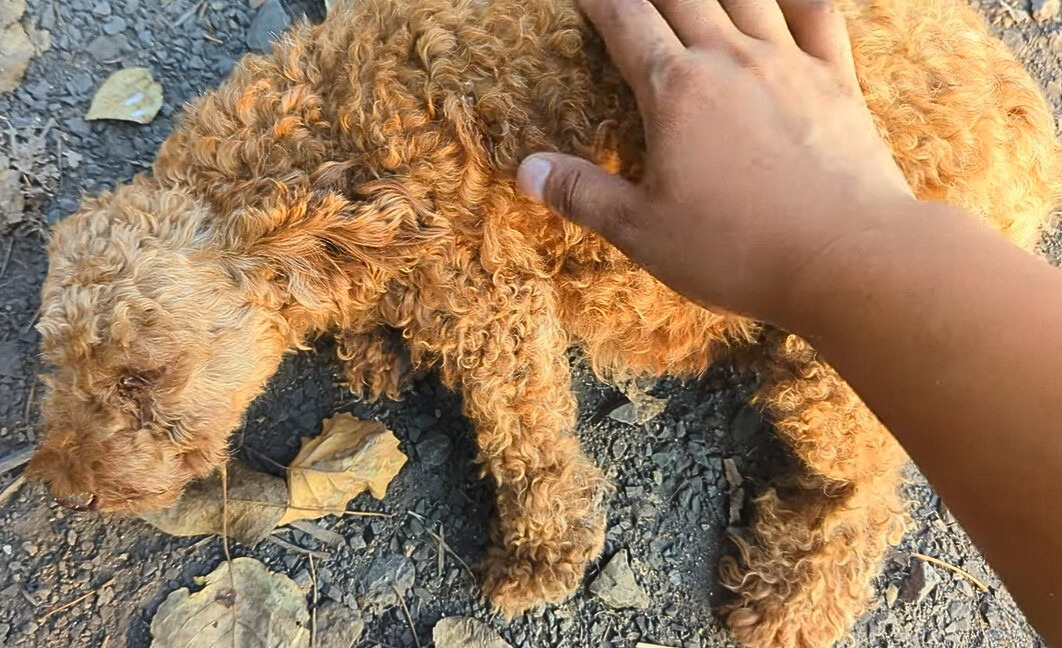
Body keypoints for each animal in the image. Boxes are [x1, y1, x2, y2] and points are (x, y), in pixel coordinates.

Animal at [26, 0, 1062, 641]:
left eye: (142, 376)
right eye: (58, 373)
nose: (64, 489)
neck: (317, 150)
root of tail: (1029, 115)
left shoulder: (486, 296)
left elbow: (524, 436)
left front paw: (542, 555)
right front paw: (371, 349)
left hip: (830, 359)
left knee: (870, 491)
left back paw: (790, 595)